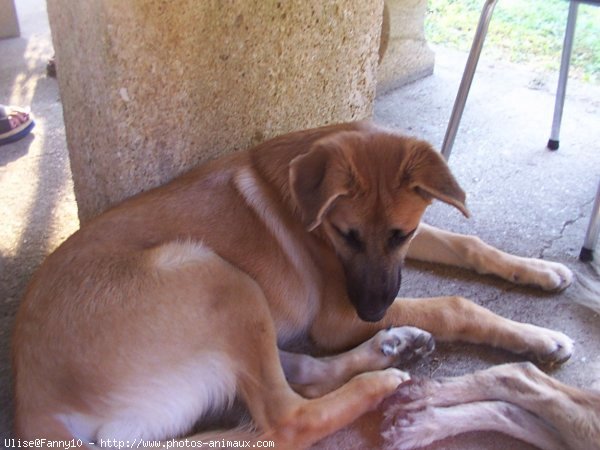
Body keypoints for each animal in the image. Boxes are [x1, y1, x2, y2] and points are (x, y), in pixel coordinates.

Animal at [14, 121, 576, 448]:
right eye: (347, 235)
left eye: (402, 234)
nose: (373, 313)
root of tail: (32, 407)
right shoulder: (336, 318)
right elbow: (454, 303)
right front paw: (538, 336)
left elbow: (468, 243)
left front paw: (539, 269)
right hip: (211, 273)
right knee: (285, 418)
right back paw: (378, 378)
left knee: (298, 376)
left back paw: (392, 347)